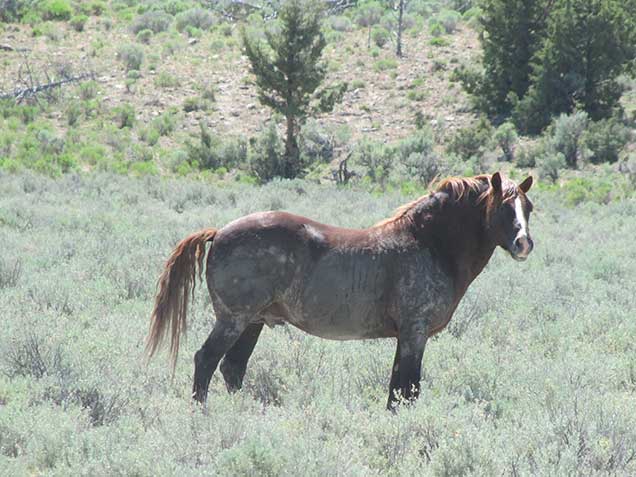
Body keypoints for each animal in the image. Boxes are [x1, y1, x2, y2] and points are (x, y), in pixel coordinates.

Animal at [147, 173, 536, 408]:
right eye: (503, 206)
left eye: (528, 207)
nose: (524, 244)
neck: (429, 242)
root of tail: (219, 232)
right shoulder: (415, 333)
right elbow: (408, 389)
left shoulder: (404, 337)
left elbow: (396, 390)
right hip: (233, 320)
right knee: (206, 361)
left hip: (252, 323)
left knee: (232, 369)